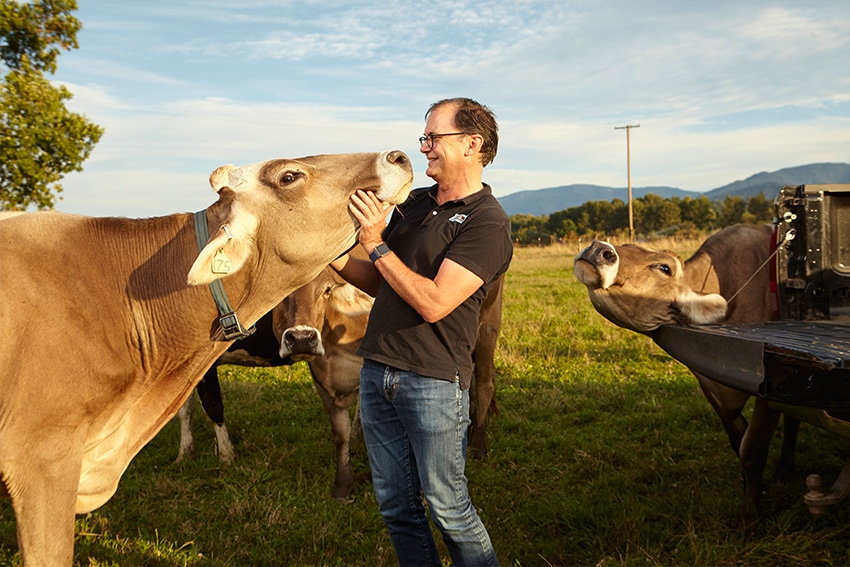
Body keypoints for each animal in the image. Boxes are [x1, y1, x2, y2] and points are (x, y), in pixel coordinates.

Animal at [0, 150, 410, 564]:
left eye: (327, 290)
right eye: (289, 176)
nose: (397, 157)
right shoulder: (44, 464)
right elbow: (203, 407)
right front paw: (196, 453)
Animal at [572, 224, 800, 532]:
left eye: (664, 267)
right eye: (626, 245)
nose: (598, 248)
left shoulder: (768, 387)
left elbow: (752, 449)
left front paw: (751, 517)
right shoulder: (710, 387)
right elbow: (738, 442)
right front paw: (754, 488)